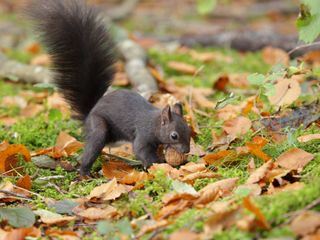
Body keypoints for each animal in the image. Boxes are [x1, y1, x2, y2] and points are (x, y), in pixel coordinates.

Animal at [28, 0, 190, 176]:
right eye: (174, 136)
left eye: (189, 130)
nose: (187, 150)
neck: (154, 122)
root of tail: (88, 115)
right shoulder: (143, 133)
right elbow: (140, 150)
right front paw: (157, 164)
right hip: (98, 127)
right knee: (92, 146)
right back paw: (84, 173)